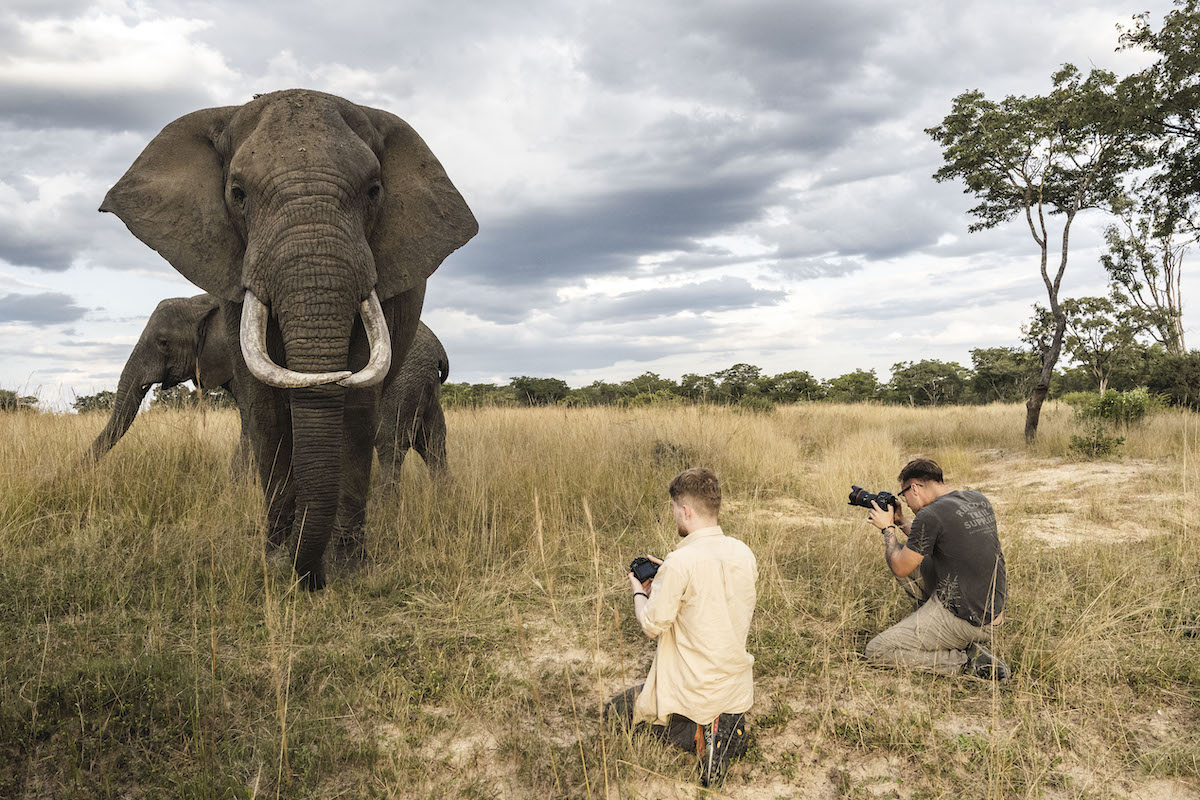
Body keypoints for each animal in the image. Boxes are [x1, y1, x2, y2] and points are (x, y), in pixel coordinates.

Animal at [102, 90, 477, 592]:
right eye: (237, 194)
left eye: (374, 191)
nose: (310, 578)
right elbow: (264, 411)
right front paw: (278, 562)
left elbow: (355, 409)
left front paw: (345, 568)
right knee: (432, 442)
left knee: (391, 439)